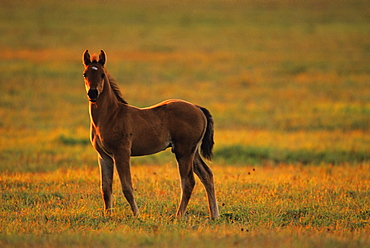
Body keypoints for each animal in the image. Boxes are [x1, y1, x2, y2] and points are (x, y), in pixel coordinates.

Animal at [82, 50, 218, 219]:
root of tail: (198, 108)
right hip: (192, 152)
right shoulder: (104, 156)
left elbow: (127, 187)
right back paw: (215, 215)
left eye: (102, 75)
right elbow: (105, 188)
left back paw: (178, 216)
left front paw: (137, 215)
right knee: (207, 175)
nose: (92, 93)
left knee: (188, 182)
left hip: (184, 152)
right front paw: (108, 216)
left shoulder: (121, 153)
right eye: (85, 74)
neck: (111, 115)